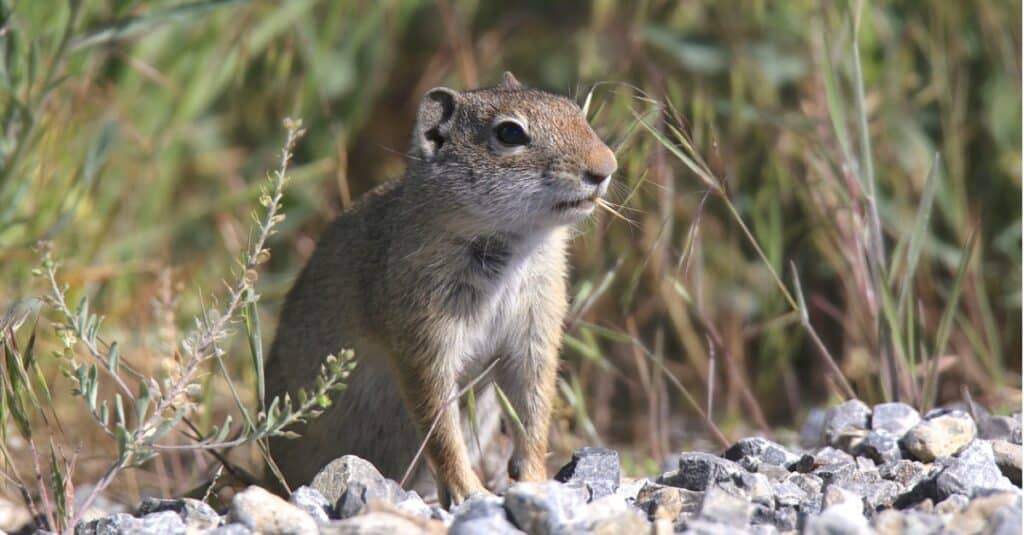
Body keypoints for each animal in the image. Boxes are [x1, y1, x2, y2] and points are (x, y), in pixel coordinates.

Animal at [264, 71, 614, 504]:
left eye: (574, 111)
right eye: (510, 133)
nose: (606, 166)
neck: (515, 247)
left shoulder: (535, 336)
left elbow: (533, 412)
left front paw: (534, 481)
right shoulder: (425, 343)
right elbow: (441, 428)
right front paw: (469, 491)